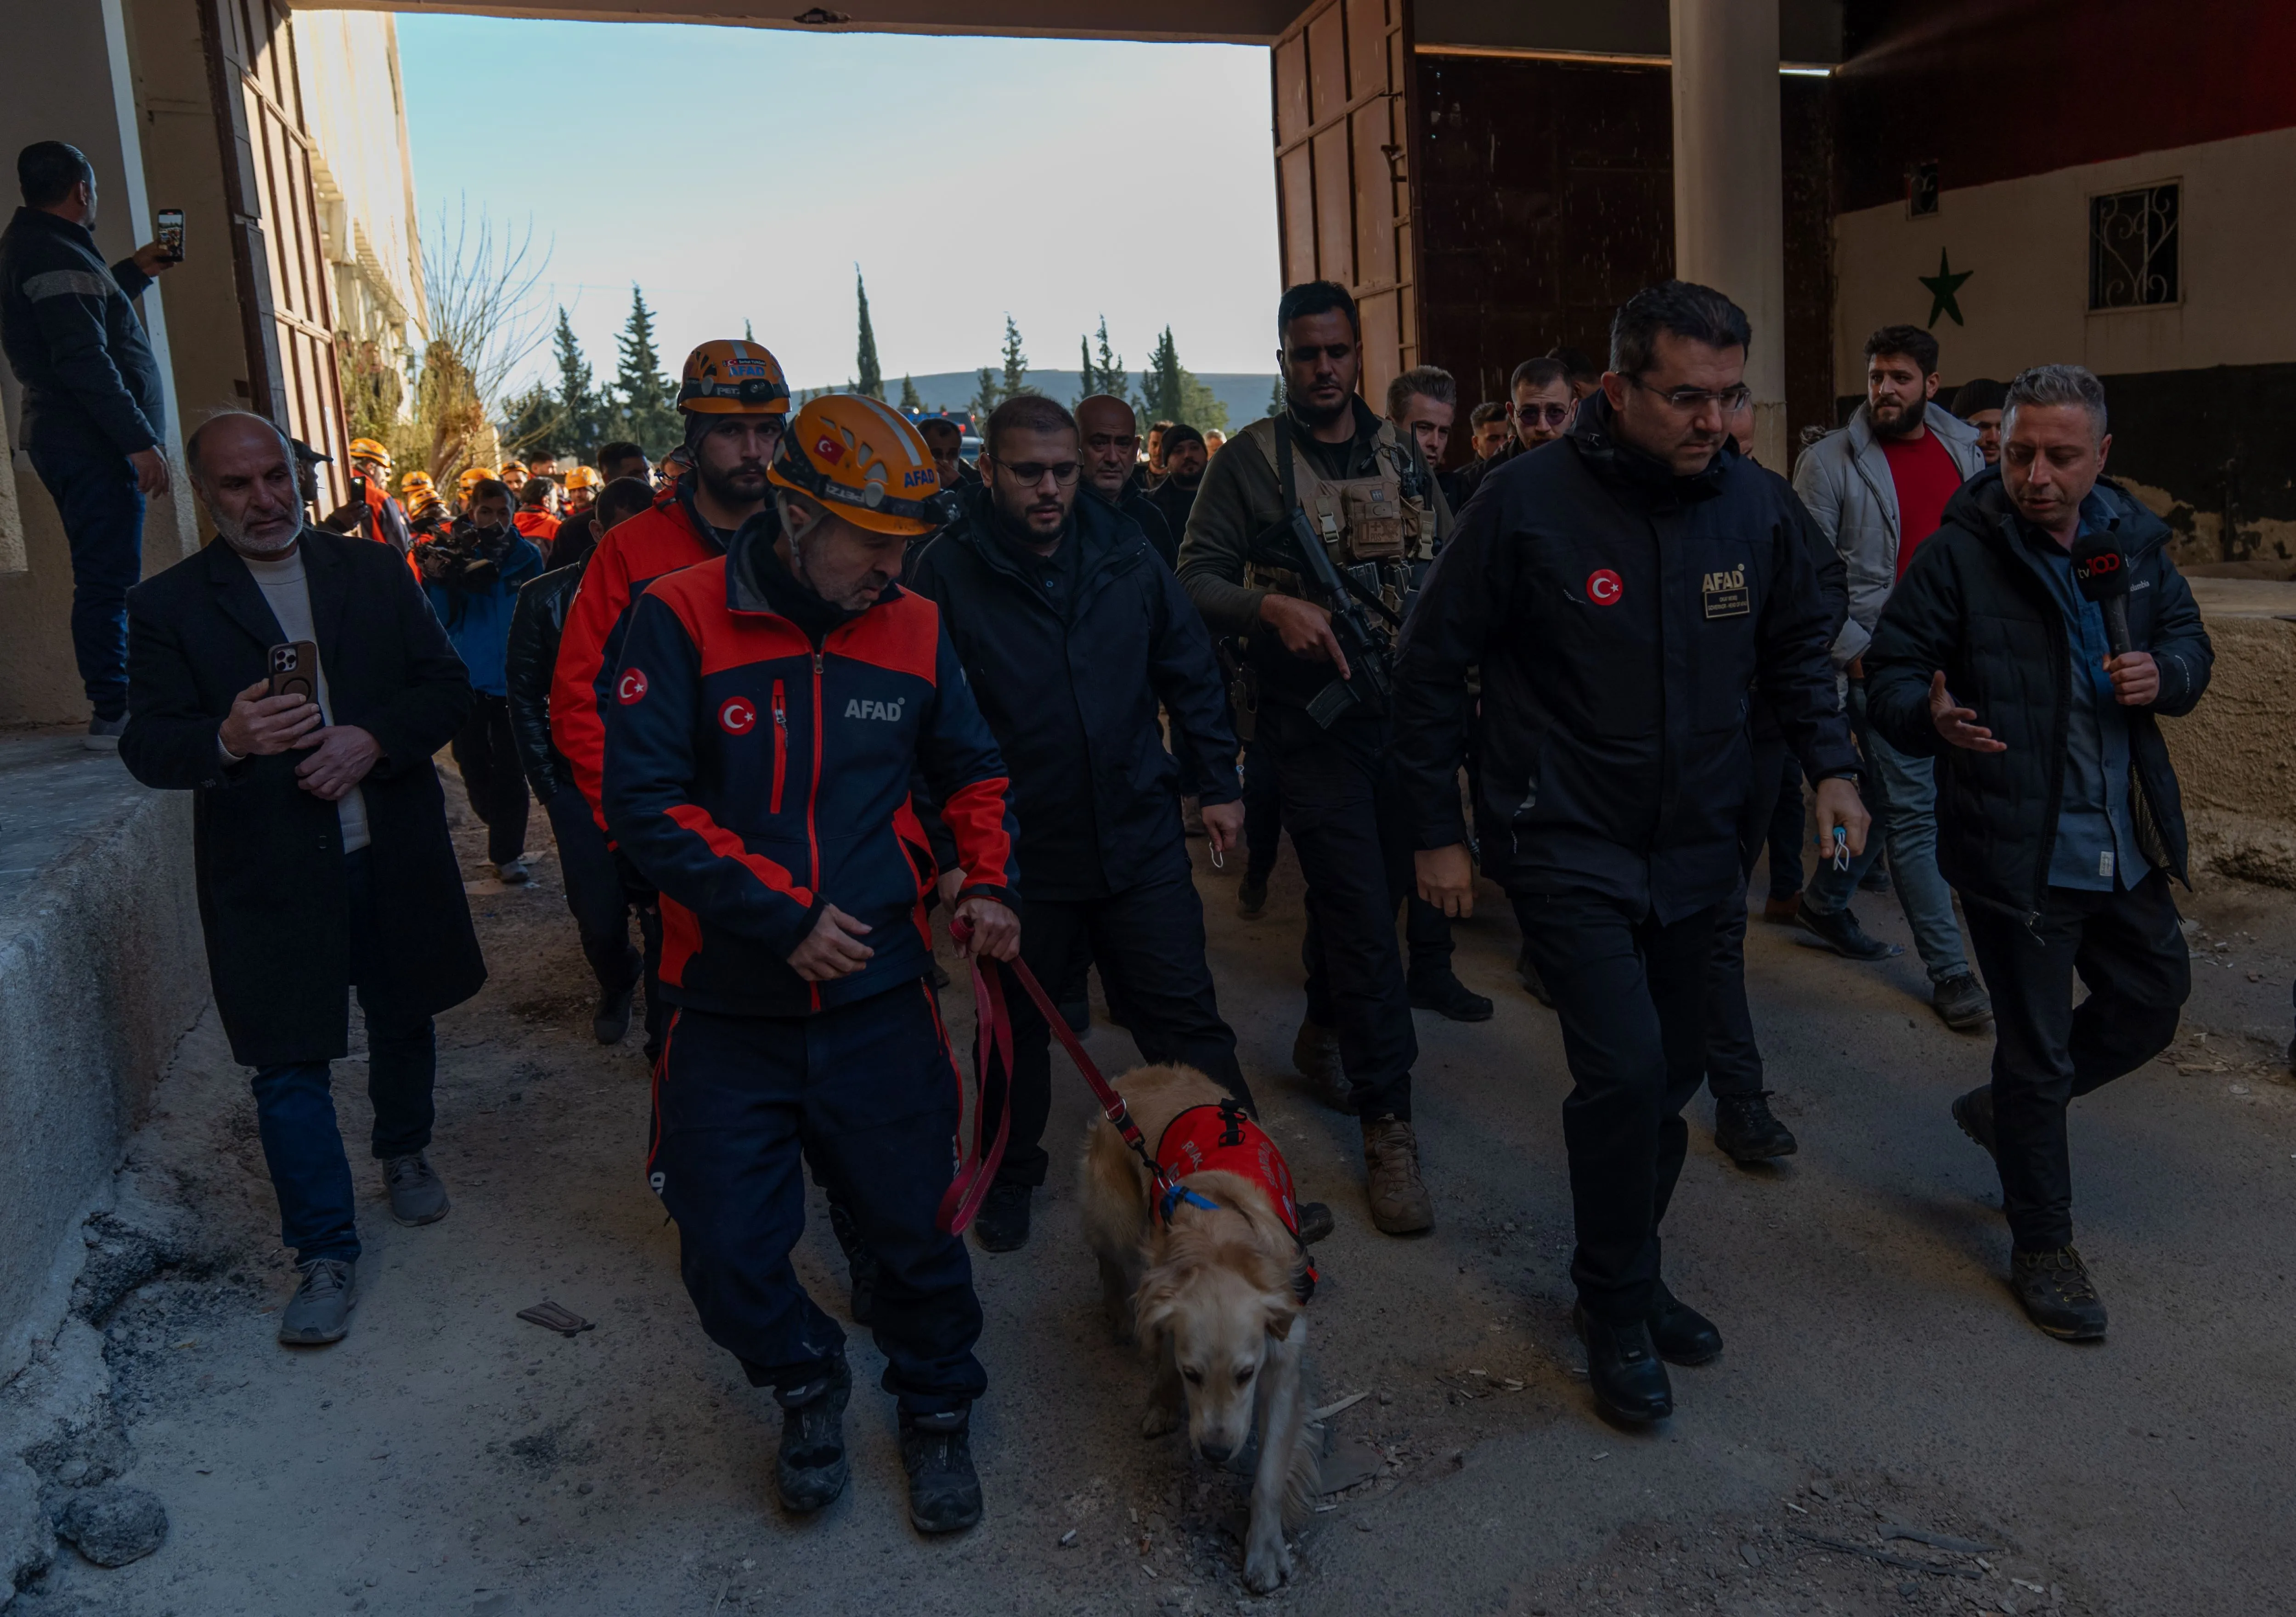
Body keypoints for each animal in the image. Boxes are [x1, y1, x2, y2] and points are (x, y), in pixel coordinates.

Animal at [1079, 1061, 1322, 1589]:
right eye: (1194, 1375)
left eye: (1246, 1375)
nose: (1213, 1452)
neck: (1219, 1242)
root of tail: (1135, 1077)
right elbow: (1164, 1356)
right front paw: (1162, 1403)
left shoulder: (1283, 1360)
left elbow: (1268, 1475)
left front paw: (1264, 1552)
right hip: (1116, 1213)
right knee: (1107, 1253)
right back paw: (1117, 1311)